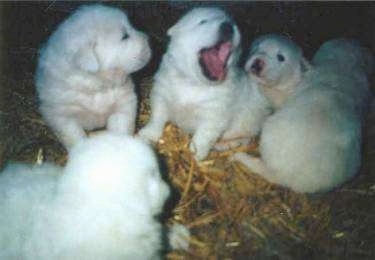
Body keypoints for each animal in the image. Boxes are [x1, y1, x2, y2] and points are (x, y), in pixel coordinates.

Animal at [35, 4, 152, 147]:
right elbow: (74, 137)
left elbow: (121, 128)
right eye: (124, 36)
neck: (97, 84)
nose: (148, 39)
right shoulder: (62, 116)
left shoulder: (124, 104)